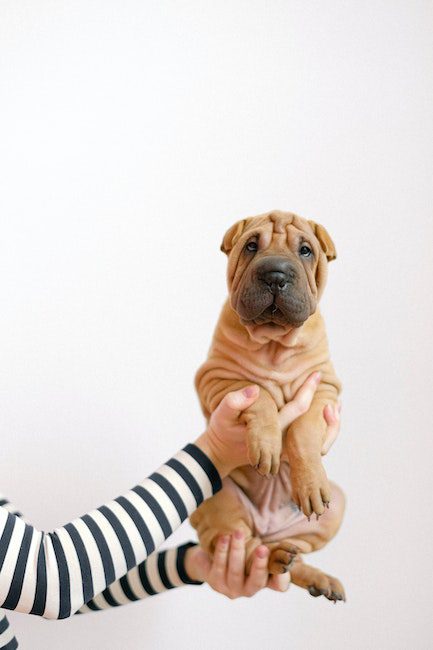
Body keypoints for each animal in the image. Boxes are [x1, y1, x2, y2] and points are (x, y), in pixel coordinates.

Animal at [191, 210, 346, 600]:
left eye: (305, 250)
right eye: (250, 246)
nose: (275, 274)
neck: (274, 342)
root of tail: (267, 527)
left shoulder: (324, 388)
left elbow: (303, 430)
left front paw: (308, 481)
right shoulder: (216, 378)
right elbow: (258, 393)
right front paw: (267, 445)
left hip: (335, 506)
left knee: (297, 552)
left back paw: (313, 575)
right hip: (219, 500)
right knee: (246, 551)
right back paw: (273, 558)